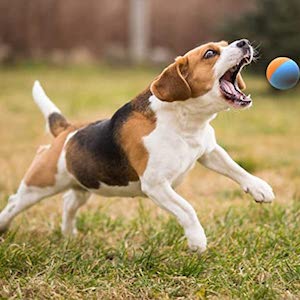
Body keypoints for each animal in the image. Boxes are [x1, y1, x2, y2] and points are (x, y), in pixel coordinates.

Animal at [0, 38, 274, 252]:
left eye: (226, 45)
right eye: (210, 53)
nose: (244, 42)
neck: (185, 121)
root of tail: (67, 130)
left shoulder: (208, 151)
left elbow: (235, 168)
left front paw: (259, 188)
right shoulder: (156, 185)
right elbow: (187, 209)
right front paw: (197, 240)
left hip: (82, 185)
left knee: (68, 203)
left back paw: (68, 235)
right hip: (40, 183)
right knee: (14, 202)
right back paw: (4, 226)